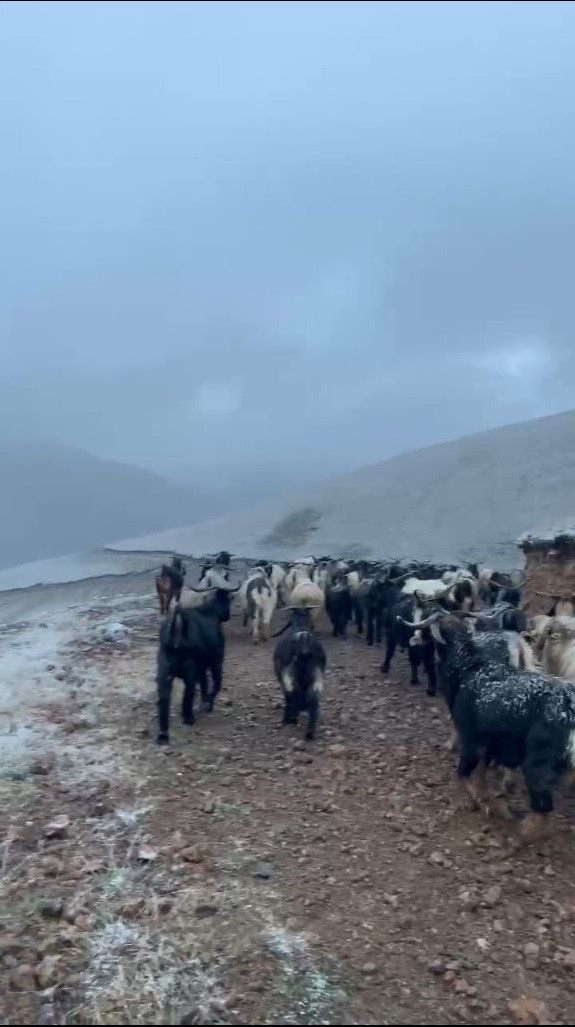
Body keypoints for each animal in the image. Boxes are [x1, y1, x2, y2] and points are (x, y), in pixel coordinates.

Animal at [157, 591, 234, 743]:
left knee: (164, 699)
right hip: (190, 669)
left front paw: (204, 702)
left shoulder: (201, 667)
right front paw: (208, 704)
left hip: (164, 673)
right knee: (188, 693)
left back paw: (163, 734)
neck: (209, 611)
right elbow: (216, 684)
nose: (228, 615)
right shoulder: (215, 661)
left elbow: (204, 684)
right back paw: (189, 718)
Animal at [273, 603, 326, 743]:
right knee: (312, 698)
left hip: (291, 677)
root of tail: (304, 639)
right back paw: (309, 732)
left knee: (294, 695)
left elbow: (288, 697)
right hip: (315, 675)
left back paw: (291, 719)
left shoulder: (284, 679)